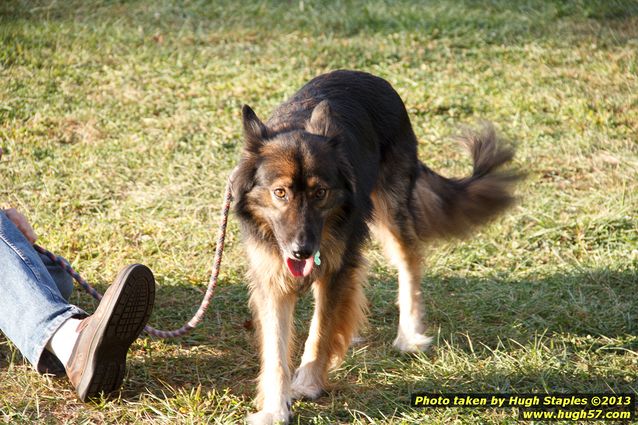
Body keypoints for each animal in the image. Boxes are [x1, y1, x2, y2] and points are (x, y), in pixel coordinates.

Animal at [232, 68, 524, 422]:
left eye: (320, 193)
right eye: (280, 193)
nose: (302, 251)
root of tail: (369, 77)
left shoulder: (335, 269)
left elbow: (320, 332)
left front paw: (309, 384)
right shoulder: (272, 279)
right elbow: (276, 351)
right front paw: (275, 409)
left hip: (391, 211)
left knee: (410, 262)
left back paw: (409, 335)